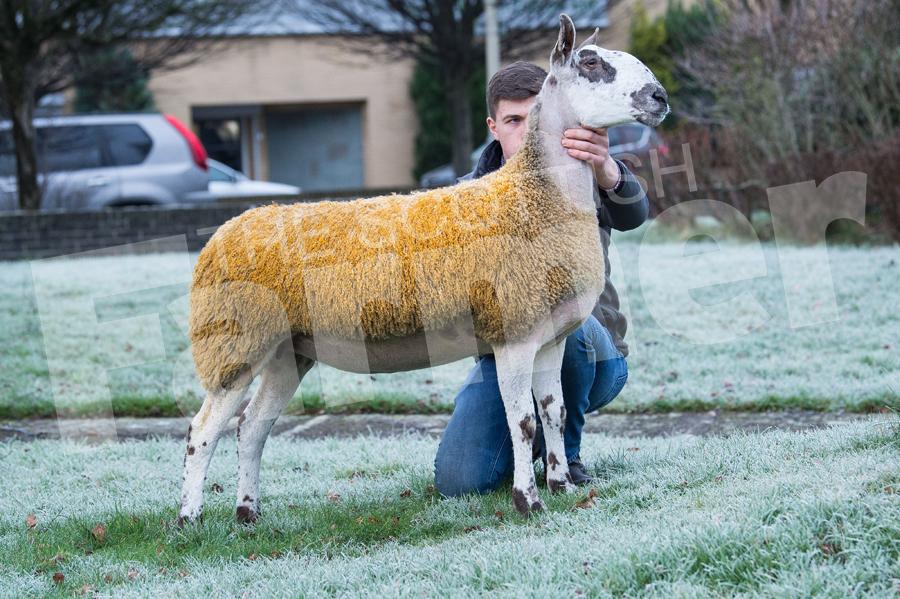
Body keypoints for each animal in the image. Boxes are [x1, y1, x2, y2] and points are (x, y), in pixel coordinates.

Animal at [178, 14, 668, 528]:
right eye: (590, 63)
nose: (659, 97)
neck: (536, 197)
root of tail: (223, 232)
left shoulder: (551, 336)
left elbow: (554, 413)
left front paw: (562, 487)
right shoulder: (513, 330)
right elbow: (523, 421)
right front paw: (528, 501)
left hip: (286, 348)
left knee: (252, 426)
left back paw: (247, 513)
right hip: (234, 339)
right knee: (203, 430)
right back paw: (189, 520)